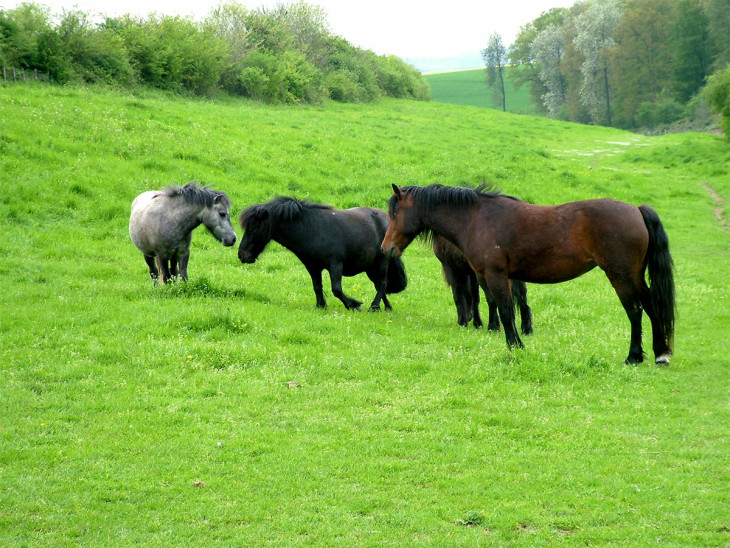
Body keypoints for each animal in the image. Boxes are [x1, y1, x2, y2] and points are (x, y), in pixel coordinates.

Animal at [237, 197, 404, 310]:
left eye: (253, 227)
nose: (242, 255)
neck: (312, 229)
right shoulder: (313, 267)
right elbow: (317, 287)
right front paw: (321, 306)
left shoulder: (335, 265)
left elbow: (336, 290)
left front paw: (354, 305)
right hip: (370, 267)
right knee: (379, 286)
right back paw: (387, 307)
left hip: (381, 263)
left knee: (382, 284)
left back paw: (374, 307)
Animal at [382, 184, 672, 364]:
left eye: (395, 212)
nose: (387, 248)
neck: (477, 219)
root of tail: (636, 210)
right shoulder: (487, 277)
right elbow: (500, 308)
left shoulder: (496, 275)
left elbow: (505, 310)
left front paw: (515, 346)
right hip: (636, 275)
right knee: (651, 306)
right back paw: (660, 354)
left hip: (620, 275)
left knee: (635, 311)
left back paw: (634, 356)